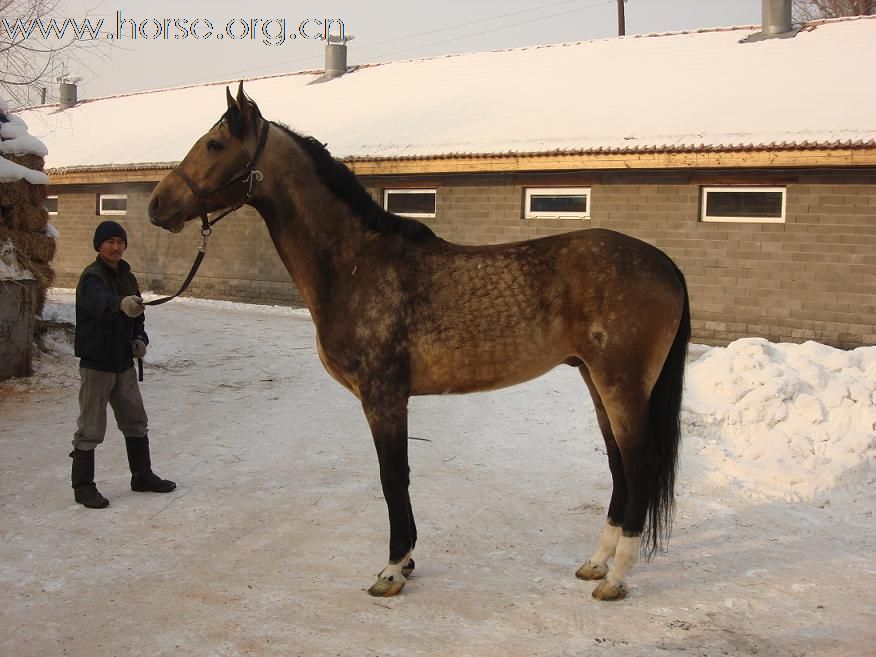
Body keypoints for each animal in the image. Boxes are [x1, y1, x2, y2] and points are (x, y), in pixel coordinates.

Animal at [147, 83, 688, 600]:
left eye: (215, 144)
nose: (157, 205)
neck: (355, 263)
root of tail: (665, 264)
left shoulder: (383, 396)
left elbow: (393, 477)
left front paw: (393, 569)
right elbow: (397, 477)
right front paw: (404, 562)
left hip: (619, 384)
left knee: (639, 464)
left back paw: (615, 579)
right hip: (596, 381)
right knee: (619, 466)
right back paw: (596, 562)